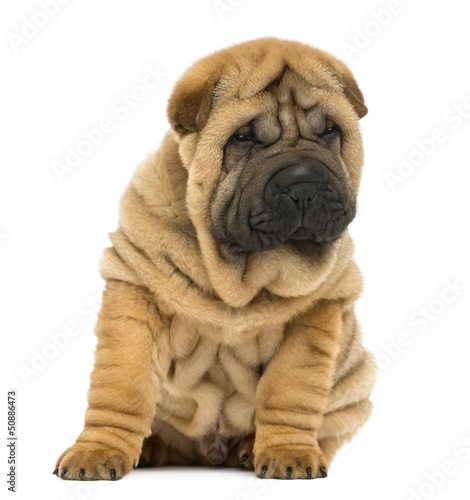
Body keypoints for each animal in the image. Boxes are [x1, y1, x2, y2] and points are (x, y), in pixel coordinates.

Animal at [55, 37, 376, 482]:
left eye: (330, 131)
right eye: (243, 137)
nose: (302, 185)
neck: (239, 277)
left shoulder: (316, 314)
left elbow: (289, 388)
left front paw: (289, 452)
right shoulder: (134, 288)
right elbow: (122, 385)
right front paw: (97, 451)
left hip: (354, 383)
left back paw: (247, 448)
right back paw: (152, 449)